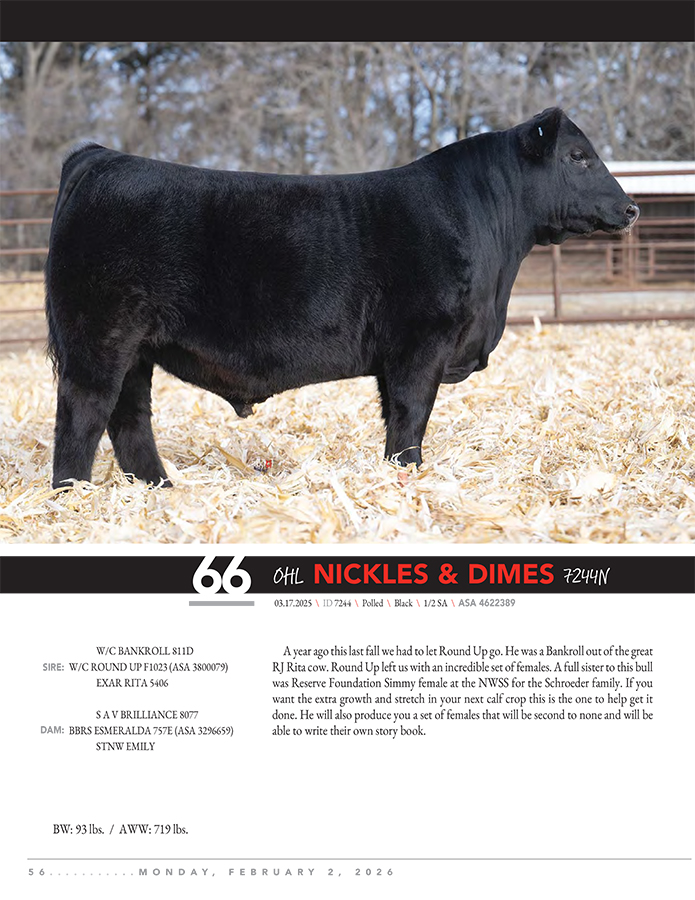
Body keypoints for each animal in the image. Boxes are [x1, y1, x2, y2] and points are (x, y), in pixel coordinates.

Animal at [45, 107, 638, 489]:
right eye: (578, 156)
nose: (631, 207)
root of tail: (101, 158)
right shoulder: (421, 342)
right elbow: (411, 414)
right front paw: (407, 476)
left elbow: (397, 416)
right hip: (98, 339)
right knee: (83, 414)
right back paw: (72, 496)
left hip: (136, 349)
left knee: (129, 420)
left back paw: (159, 490)